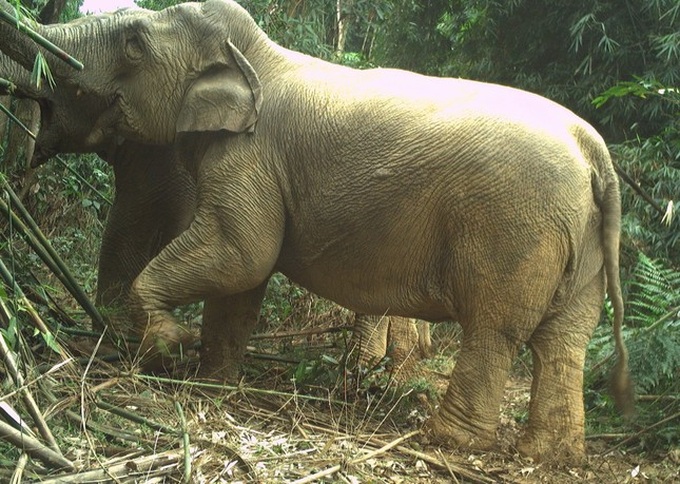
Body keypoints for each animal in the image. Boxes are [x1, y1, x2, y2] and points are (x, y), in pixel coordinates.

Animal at [0, 0, 634, 461]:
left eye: (134, 42)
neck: (260, 55)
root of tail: (594, 151)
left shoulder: (250, 155)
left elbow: (242, 254)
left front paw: (168, 344)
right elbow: (242, 278)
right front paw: (211, 384)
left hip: (514, 230)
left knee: (495, 330)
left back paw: (446, 440)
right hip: (582, 244)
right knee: (564, 342)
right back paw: (550, 454)